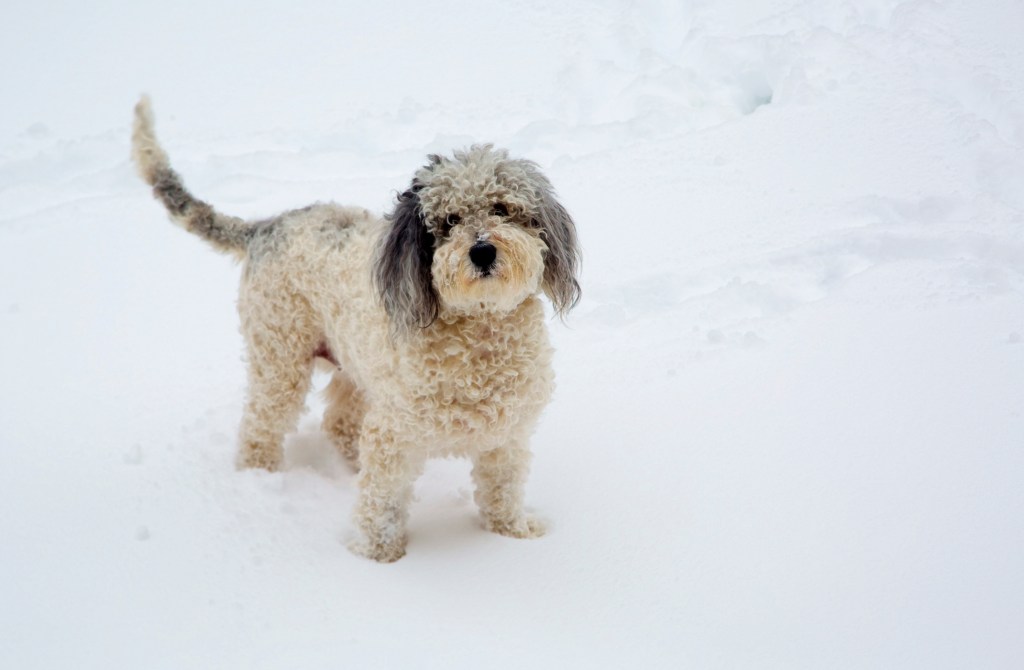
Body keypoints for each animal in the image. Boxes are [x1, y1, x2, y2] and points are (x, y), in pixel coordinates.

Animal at [130, 97, 577, 565]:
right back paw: (259, 482)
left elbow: (502, 489)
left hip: (355, 366)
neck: (481, 333)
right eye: (449, 221)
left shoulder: (506, 436)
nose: (483, 250)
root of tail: (265, 227)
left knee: (339, 424)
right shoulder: (393, 434)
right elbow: (382, 500)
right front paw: (379, 558)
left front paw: (513, 535)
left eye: (502, 209)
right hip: (280, 359)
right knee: (259, 427)